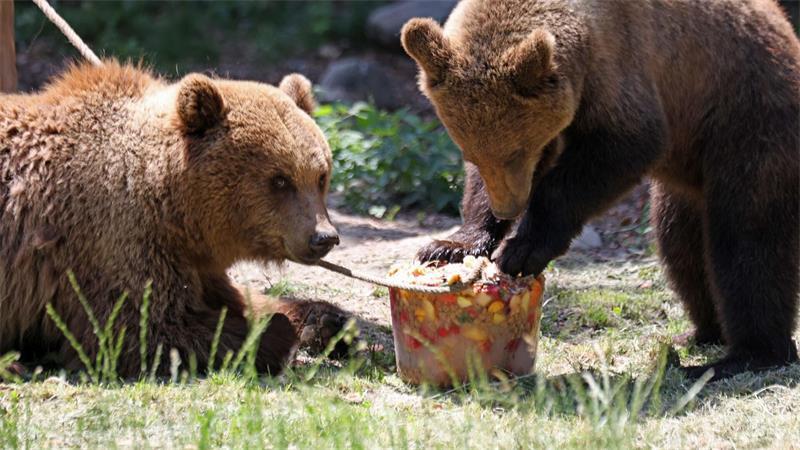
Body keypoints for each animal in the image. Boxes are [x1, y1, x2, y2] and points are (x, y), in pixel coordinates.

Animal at [0, 61, 350, 377]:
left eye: (320, 176)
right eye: (279, 180)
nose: (324, 237)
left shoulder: (196, 261)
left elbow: (240, 298)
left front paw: (330, 321)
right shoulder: (112, 242)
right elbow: (142, 330)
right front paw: (275, 335)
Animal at [401, 0, 800, 381]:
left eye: (516, 151)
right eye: (470, 152)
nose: (508, 208)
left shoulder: (621, 67)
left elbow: (622, 148)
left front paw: (521, 249)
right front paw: (449, 245)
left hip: (743, 118)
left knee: (747, 243)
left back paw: (745, 355)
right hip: (689, 179)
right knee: (680, 246)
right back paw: (700, 333)